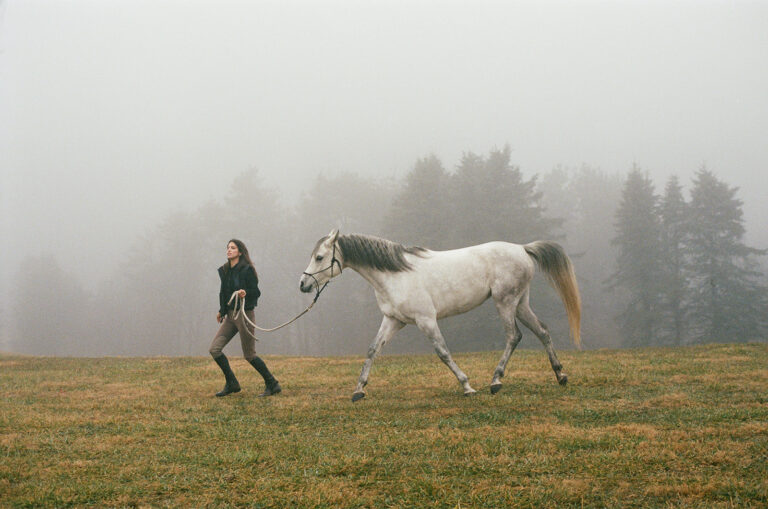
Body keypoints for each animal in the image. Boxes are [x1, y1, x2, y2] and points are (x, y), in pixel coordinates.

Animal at [299, 229, 581, 401]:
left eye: (320, 257)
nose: (303, 284)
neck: (395, 275)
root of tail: (523, 249)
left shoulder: (426, 320)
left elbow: (442, 352)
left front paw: (467, 386)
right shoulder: (394, 321)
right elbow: (372, 350)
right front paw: (359, 390)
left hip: (505, 301)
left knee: (514, 336)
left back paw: (495, 381)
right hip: (520, 303)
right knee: (542, 330)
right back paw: (560, 375)